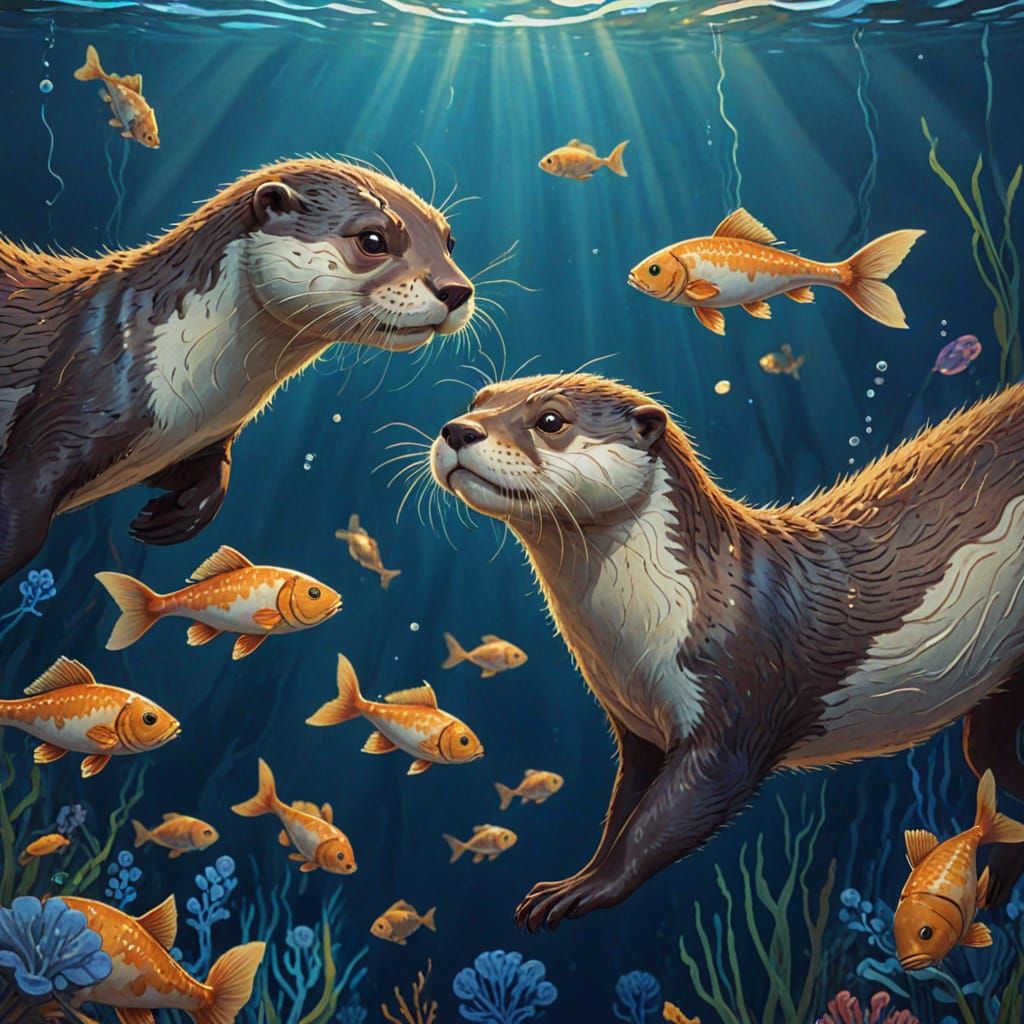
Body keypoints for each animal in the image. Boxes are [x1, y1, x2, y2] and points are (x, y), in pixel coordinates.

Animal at [0, 157, 474, 582]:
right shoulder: (68, 412)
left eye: (450, 242)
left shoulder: (190, 437)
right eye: (373, 239)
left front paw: (173, 516)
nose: (457, 290)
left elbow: (213, 474)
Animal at [429, 372, 1024, 930]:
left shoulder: (737, 701)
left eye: (550, 420)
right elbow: (623, 808)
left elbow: (659, 822)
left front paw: (582, 891)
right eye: (478, 400)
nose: (458, 430)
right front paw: (575, 876)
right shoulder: (636, 727)